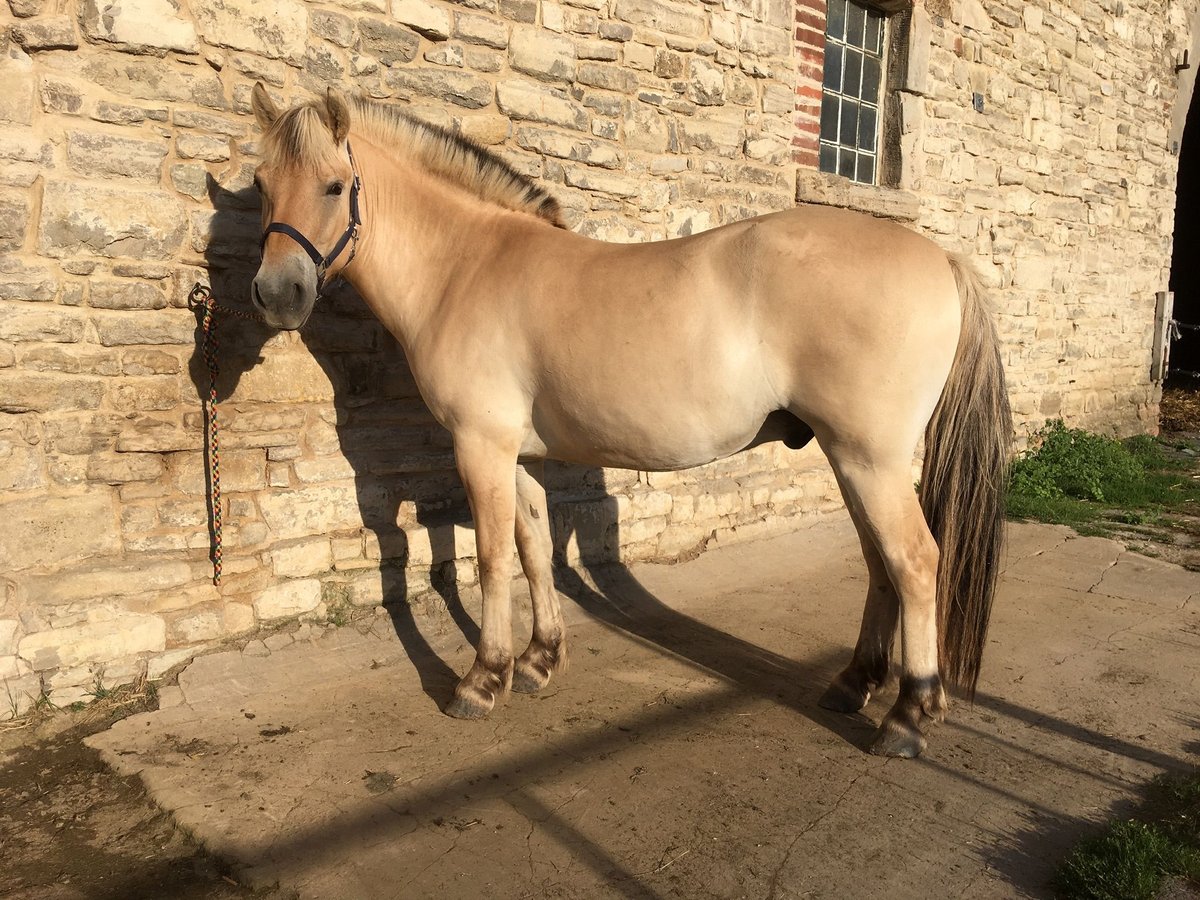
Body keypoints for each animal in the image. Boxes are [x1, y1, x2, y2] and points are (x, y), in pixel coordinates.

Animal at [246, 84, 1012, 763]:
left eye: (334, 186)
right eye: (261, 183)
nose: (276, 294)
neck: (465, 267)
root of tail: (942, 258)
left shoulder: (479, 446)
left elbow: (491, 559)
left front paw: (483, 679)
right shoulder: (519, 454)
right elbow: (534, 548)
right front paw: (540, 660)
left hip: (868, 458)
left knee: (914, 561)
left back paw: (908, 716)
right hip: (850, 457)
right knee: (881, 563)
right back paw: (854, 684)